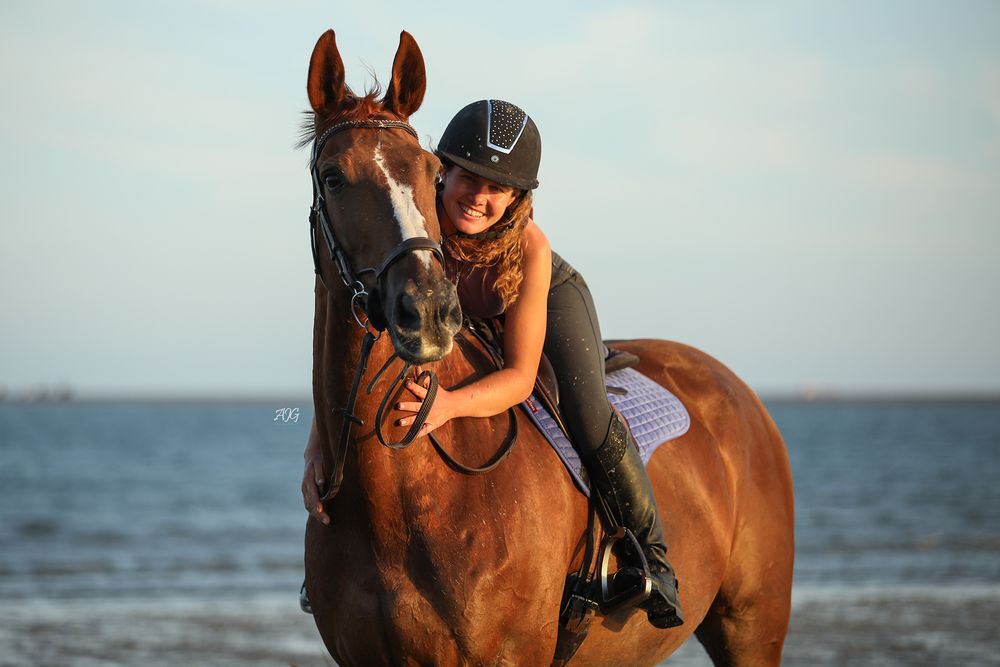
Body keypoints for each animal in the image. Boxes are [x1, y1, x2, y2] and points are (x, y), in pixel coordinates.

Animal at [302, 29, 795, 667]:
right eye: (334, 176)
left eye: (431, 171)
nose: (428, 310)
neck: (401, 506)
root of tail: (742, 396)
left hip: (752, 629)